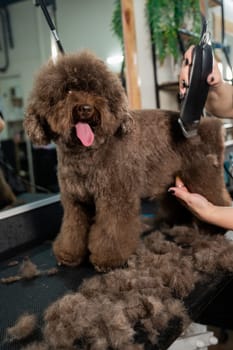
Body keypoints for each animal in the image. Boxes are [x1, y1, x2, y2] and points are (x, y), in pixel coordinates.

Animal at [23, 50, 231, 270]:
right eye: (67, 91)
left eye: (97, 90)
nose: (86, 108)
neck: (86, 154)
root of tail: (207, 125)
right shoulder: (75, 202)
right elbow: (72, 229)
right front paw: (68, 254)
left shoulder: (115, 198)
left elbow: (112, 230)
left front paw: (108, 258)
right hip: (171, 183)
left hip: (202, 177)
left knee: (219, 201)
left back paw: (214, 229)